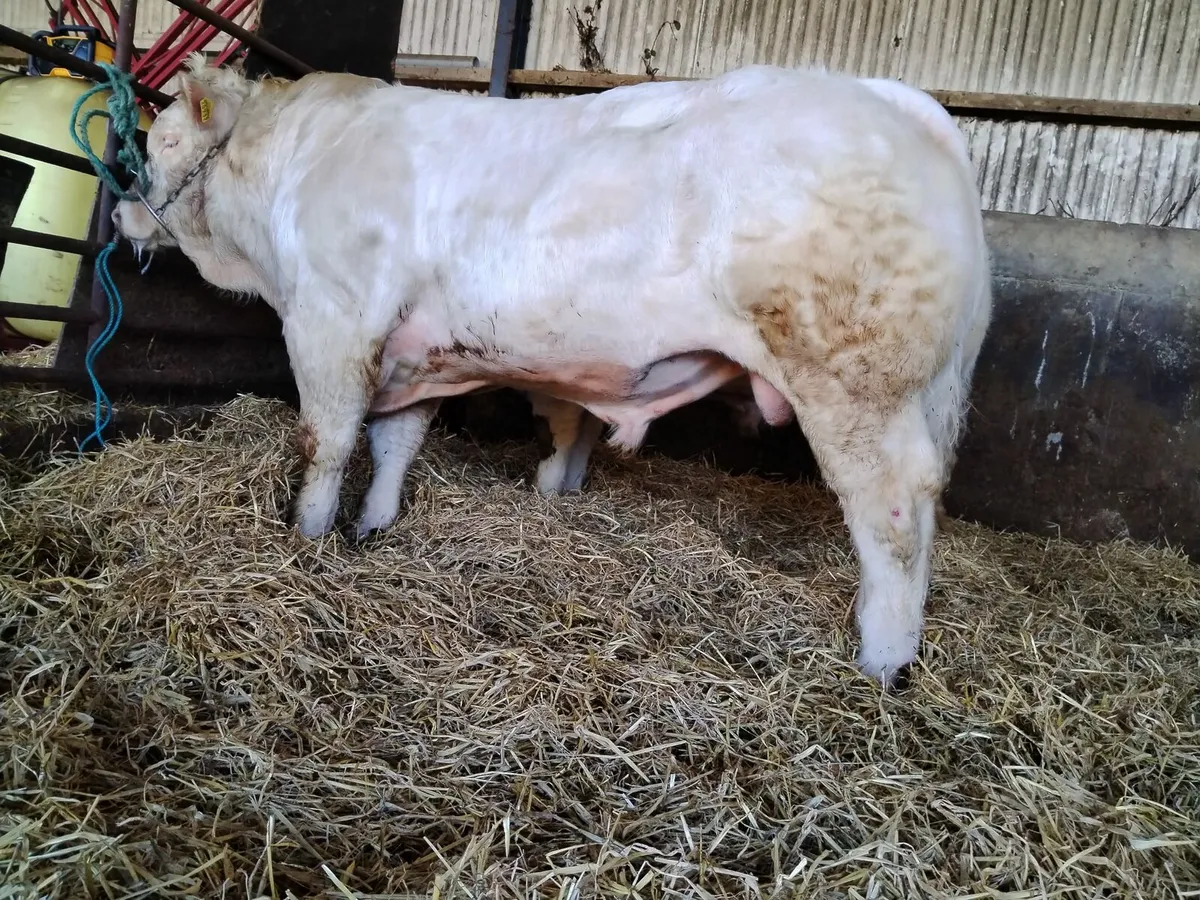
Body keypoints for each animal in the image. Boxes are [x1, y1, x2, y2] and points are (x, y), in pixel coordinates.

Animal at [112, 55, 992, 685]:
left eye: (162, 142)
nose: (120, 210)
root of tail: (892, 101)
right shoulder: (409, 351)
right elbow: (396, 443)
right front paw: (373, 528)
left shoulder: (332, 321)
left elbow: (323, 442)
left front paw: (307, 535)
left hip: (854, 382)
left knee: (892, 509)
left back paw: (882, 659)